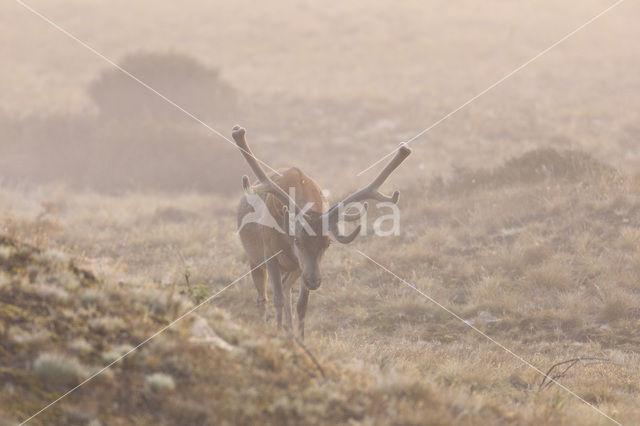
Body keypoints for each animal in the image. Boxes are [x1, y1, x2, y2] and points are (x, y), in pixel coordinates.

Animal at [234, 125, 410, 338]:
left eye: (327, 243)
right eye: (297, 240)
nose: (314, 281)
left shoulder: (302, 265)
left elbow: (302, 305)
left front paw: (300, 339)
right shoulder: (270, 253)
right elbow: (277, 299)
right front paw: (278, 334)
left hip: (294, 269)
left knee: (286, 288)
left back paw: (289, 329)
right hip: (254, 258)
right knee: (263, 298)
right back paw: (266, 326)